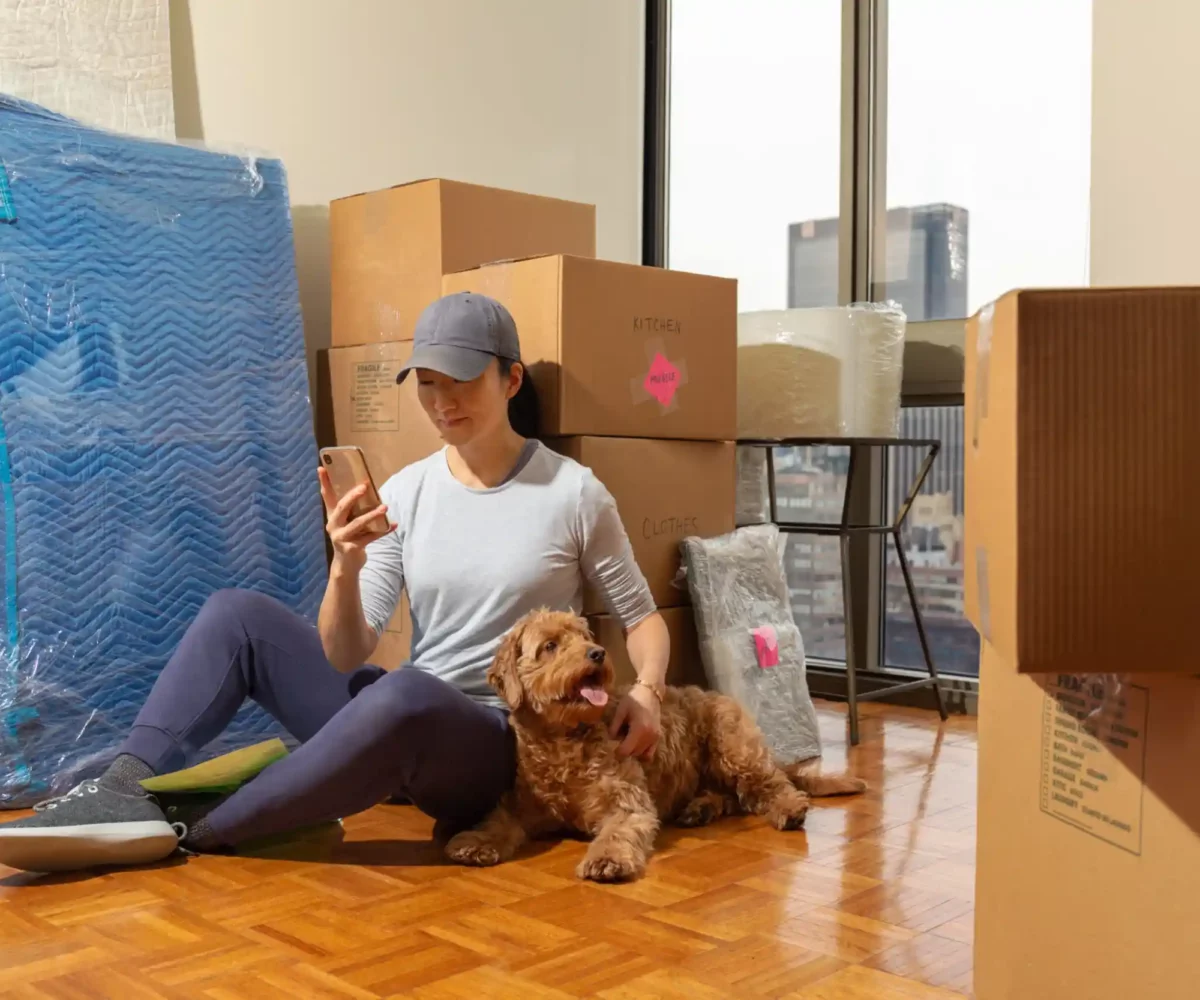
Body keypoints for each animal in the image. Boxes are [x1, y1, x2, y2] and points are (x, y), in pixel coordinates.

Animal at [446, 609, 868, 883]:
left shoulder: (627, 801)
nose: (598, 653)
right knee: (732, 796)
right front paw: (475, 841)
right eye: (550, 645)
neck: (563, 741)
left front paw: (607, 859)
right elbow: (497, 821)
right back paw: (700, 808)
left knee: (771, 785)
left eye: (586, 637)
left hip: (733, 746)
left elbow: (618, 831)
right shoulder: (518, 803)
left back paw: (788, 808)